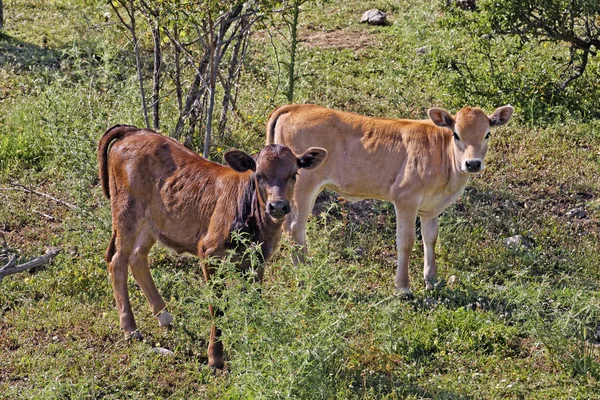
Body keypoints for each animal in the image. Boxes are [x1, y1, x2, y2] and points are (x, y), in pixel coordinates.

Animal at [97, 126, 328, 368]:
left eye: (294, 175)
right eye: (259, 175)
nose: (278, 206)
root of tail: (134, 131)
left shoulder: (258, 260)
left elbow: (253, 302)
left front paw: (253, 341)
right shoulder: (209, 254)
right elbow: (217, 307)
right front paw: (215, 357)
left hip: (152, 222)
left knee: (137, 257)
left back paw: (164, 316)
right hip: (126, 212)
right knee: (117, 260)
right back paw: (130, 329)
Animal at [268, 103, 516, 296]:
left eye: (487, 134)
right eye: (456, 135)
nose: (472, 163)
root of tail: (296, 107)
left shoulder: (431, 208)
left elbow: (431, 239)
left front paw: (432, 280)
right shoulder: (405, 198)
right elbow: (406, 241)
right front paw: (403, 287)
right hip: (304, 183)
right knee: (294, 227)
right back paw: (304, 273)